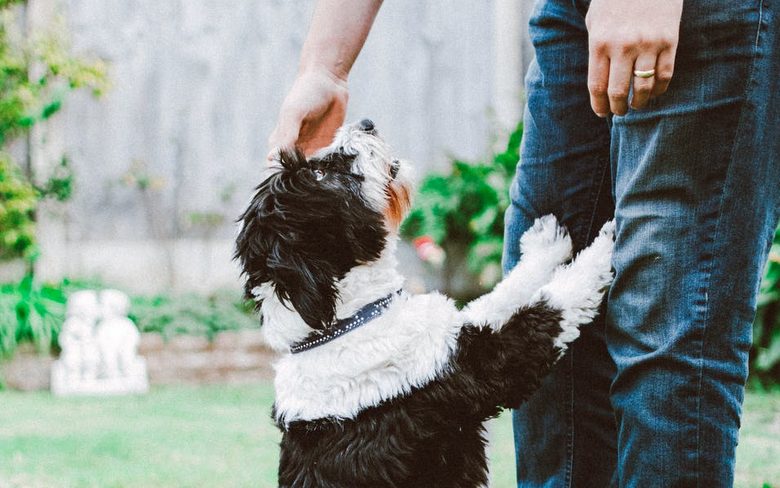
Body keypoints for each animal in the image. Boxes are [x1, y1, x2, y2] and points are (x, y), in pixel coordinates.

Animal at [235, 119, 612, 488]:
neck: (346, 322)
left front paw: (546, 245)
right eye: (318, 174)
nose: (366, 123)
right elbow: (552, 305)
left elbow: (500, 296)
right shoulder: (485, 367)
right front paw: (608, 240)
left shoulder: (455, 336)